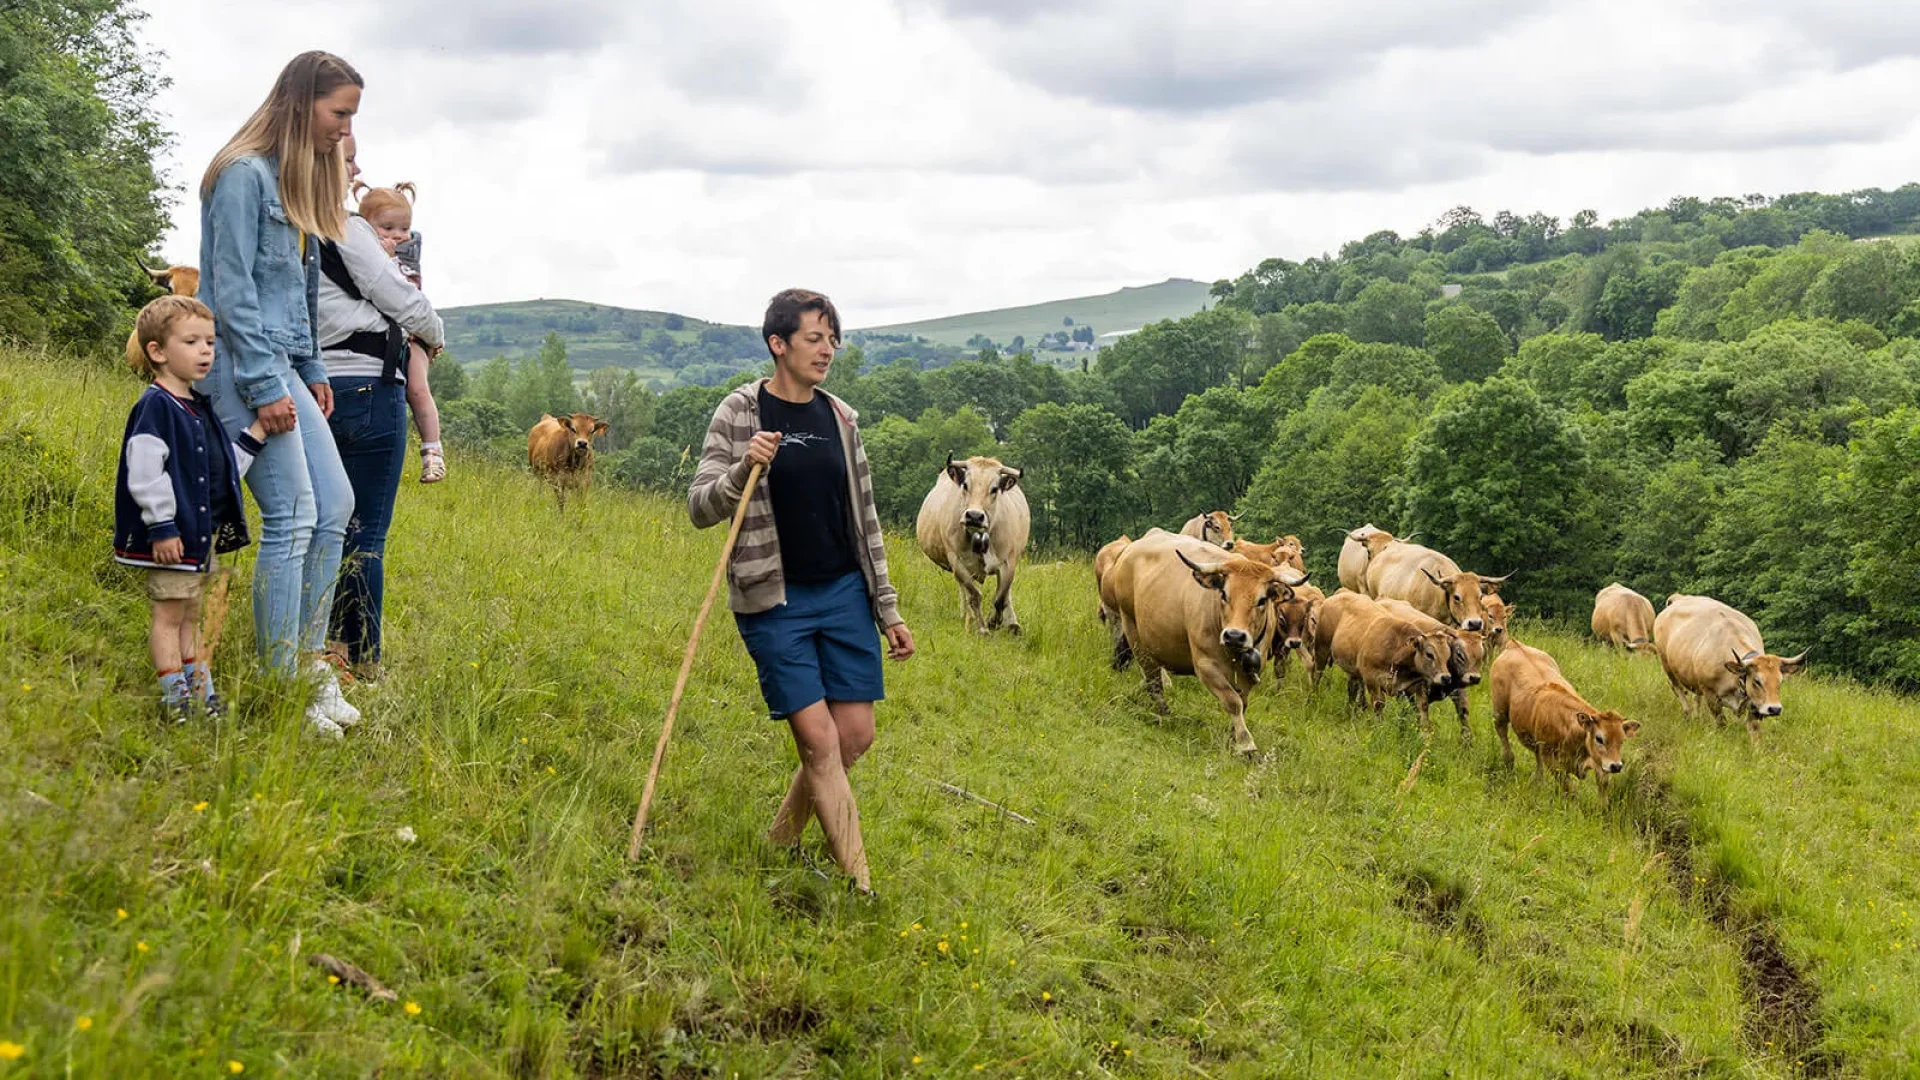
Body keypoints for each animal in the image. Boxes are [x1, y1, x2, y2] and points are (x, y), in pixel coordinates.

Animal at [917, 451, 1029, 630]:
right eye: (965, 485)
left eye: (994, 489)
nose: (974, 516)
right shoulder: (957, 561)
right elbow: (975, 595)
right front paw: (982, 628)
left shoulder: (1008, 563)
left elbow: (1000, 598)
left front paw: (994, 622)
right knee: (963, 588)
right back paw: (966, 615)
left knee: (1006, 594)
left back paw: (1013, 624)